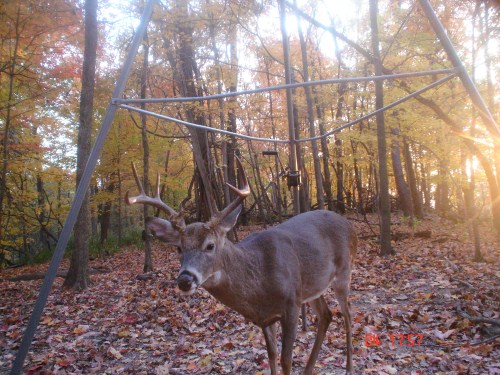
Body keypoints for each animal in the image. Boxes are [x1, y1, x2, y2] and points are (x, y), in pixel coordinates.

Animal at [127, 159, 358, 375]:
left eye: (210, 245)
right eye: (178, 248)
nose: (185, 280)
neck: (260, 282)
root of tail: (347, 223)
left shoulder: (292, 303)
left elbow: (286, 360)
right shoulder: (267, 317)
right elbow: (272, 354)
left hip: (343, 272)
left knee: (347, 315)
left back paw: (349, 367)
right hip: (313, 286)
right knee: (327, 315)